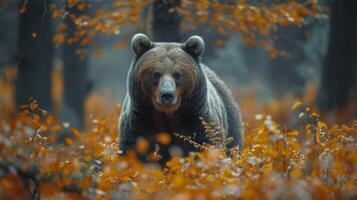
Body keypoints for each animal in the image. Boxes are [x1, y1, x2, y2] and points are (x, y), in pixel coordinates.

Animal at [118, 32, 243, 163]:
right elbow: (134, 149)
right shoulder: (140, 121)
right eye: (156, 74)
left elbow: (204, 147)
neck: (168, 115)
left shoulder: (197, 121)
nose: (167, 95)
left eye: (177, 75)